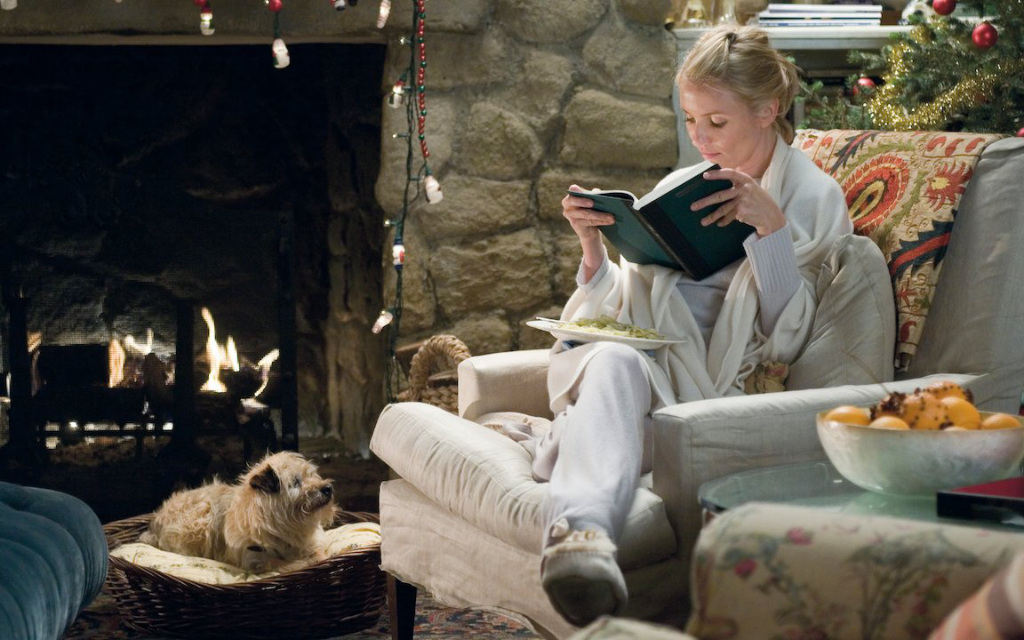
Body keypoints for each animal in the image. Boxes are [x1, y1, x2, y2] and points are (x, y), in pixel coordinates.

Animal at [139, 451, 337, 573]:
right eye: (296, 482)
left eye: (312, 476)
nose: (328, 488)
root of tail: (154, 525)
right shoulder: (253, 558)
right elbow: (283, 564)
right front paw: (305, 562)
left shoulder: (314, 541)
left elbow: (318, 551)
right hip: (201, 518)